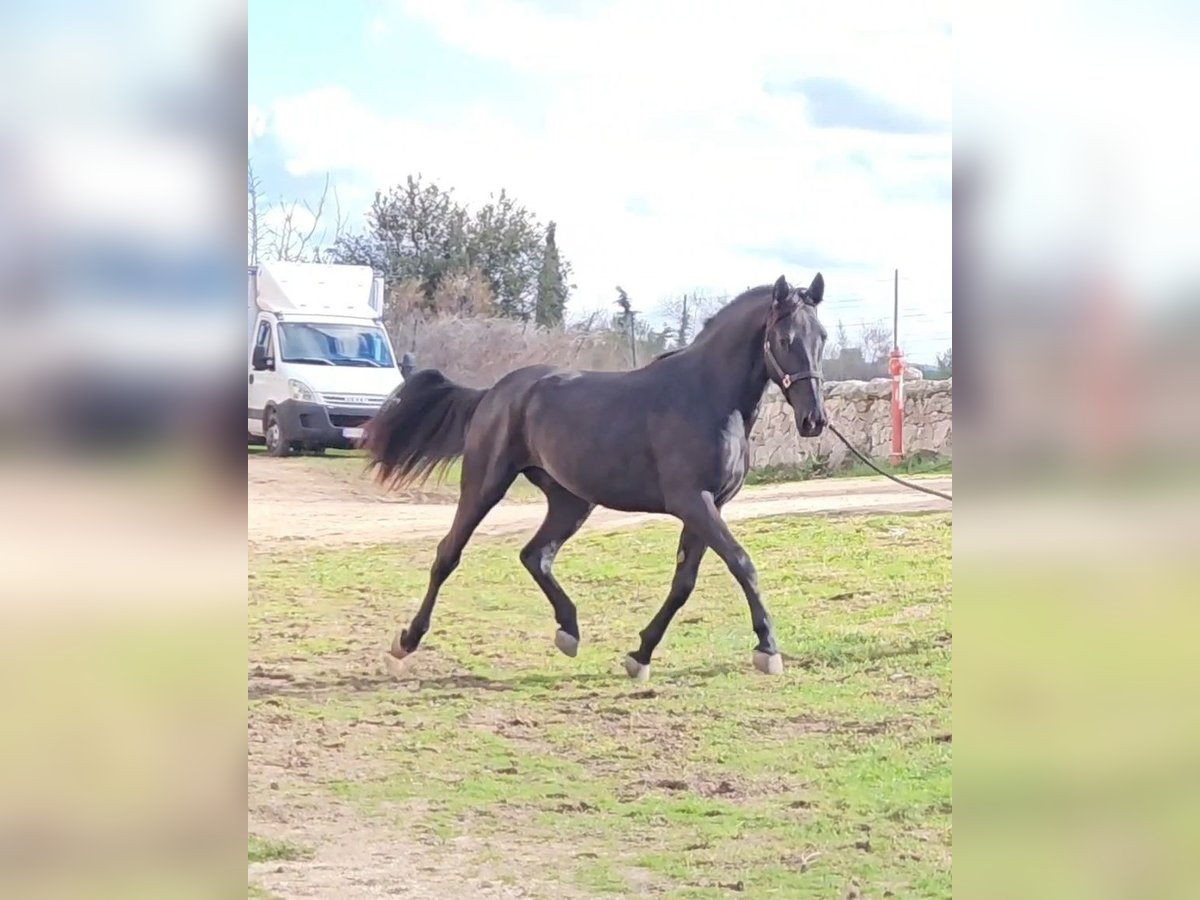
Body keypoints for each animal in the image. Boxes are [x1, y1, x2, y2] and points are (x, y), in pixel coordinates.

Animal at [362, 271, 825, 681]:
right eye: (785, 339)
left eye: (821, 338)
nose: (814, 420)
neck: (707, 397)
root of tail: (494, 392)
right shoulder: (692, 501)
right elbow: (742, 563)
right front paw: (768, 649)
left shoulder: (709, 506)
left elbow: (683, 584)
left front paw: (640, 655)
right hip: (484, 485)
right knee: (448, 554)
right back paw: (406, 642)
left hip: (572, 501)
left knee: (535, 555)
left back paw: (569, 631)